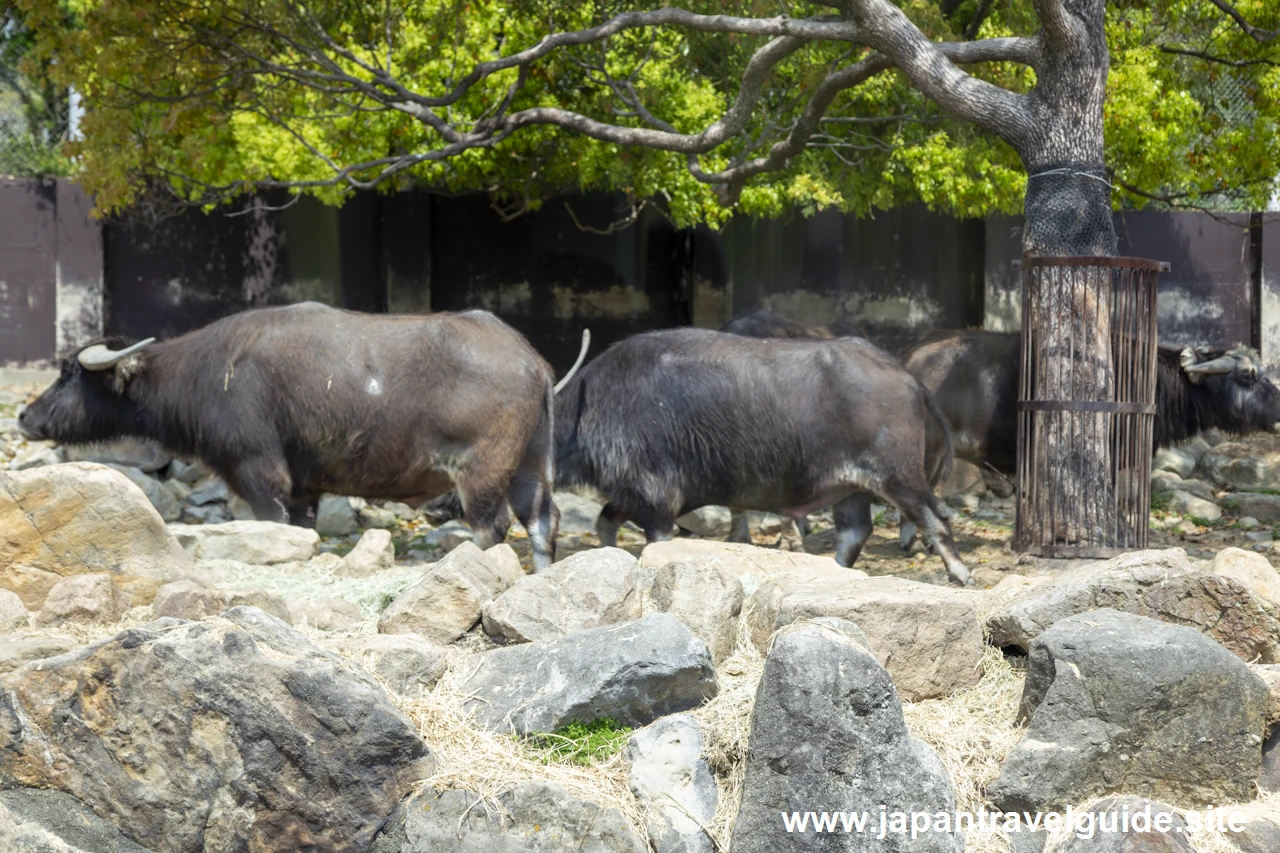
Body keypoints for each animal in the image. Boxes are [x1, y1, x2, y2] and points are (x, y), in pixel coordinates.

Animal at [17, 302, 568, 568]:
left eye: (69, 373)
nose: (24, 417)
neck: (205, 373)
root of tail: (533, 362)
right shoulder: (305, 489)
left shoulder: (260, 474)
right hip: (530, 465)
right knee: (543, 520)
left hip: (481, 471)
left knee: (492, 527)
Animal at [552, 327, 967, 581]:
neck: (592, 405)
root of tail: (909, 380)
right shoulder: (628, 495)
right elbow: (604, 523)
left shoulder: (655, 499)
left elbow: (655, 542)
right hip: (853, 488)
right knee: (854, 533)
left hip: (898, 476)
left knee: (935, 517)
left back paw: (960, 573)